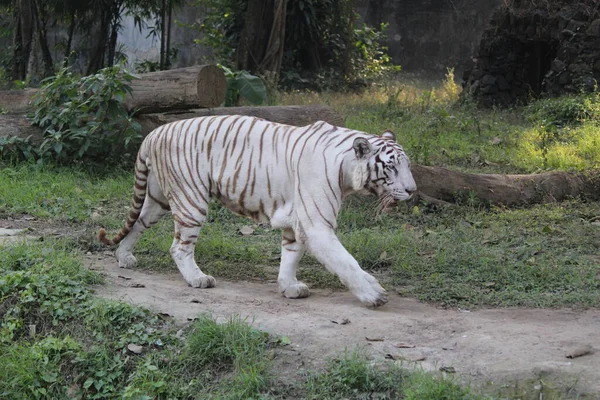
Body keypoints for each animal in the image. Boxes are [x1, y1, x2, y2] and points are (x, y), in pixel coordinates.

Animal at [98, 115, 418, 306]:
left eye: (407, 165)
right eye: (391, 167)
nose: (413, 190)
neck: (346, 172)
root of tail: (153, 133)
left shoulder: (296, 223)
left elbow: (290, 256)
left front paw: (288, 287)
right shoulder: (317, 225)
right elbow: (345, 261)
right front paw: (372, 293)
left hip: (158, 199)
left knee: (138, 223)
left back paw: (124, 257)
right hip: (191, 199)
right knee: (179, 247)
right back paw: (198, 279)